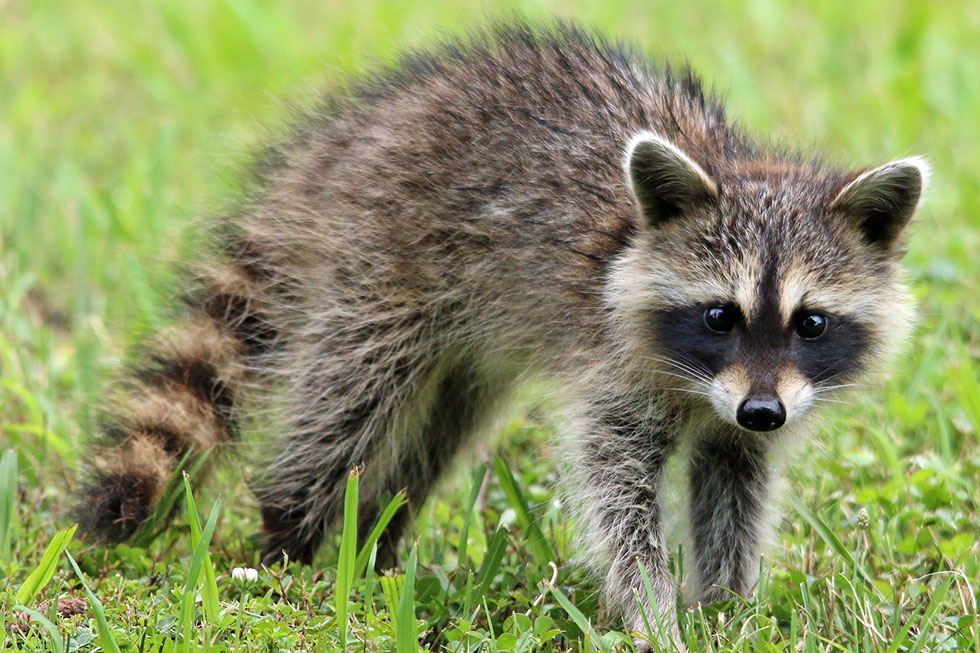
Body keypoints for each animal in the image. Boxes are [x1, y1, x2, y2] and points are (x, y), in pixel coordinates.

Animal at [78, 22, 928, 644]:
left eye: (810, 322)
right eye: (721, 315)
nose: (762, 411)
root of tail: (350, 136)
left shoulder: (751, 408)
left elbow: (734, 484)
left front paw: (727, 605)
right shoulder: (614, 364)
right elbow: (616, 488)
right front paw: (653, 608)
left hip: (464, 339)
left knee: (438, 430)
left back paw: (379, 539)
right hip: (380, 262)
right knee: (348, 401)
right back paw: (288, 537)